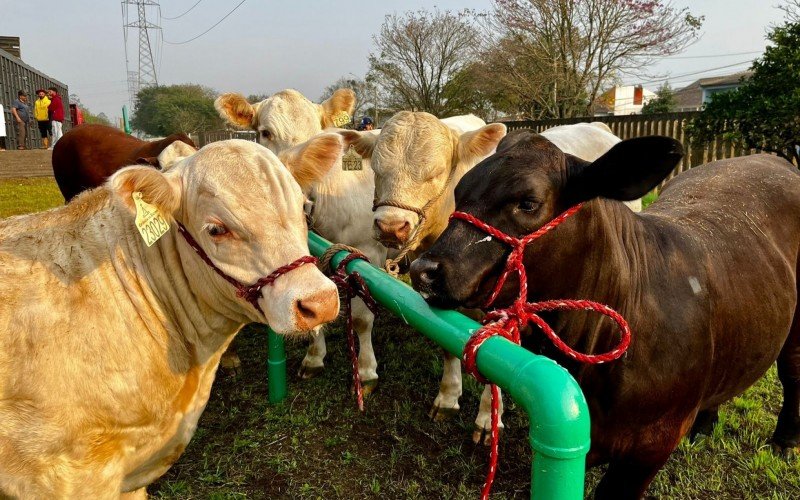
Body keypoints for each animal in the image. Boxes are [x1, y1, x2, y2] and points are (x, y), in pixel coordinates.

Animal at [214, 90, 386, 390]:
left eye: (318, 132)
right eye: (265, 132)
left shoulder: (369, 253)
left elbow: (363, 319)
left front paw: (366, 372)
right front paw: (314, 357)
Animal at [410, 131, 800, 498]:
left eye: (528, 203)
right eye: (460, 192)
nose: (423, 269)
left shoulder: (650, 448)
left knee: (792, 372)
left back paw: (785, 441)